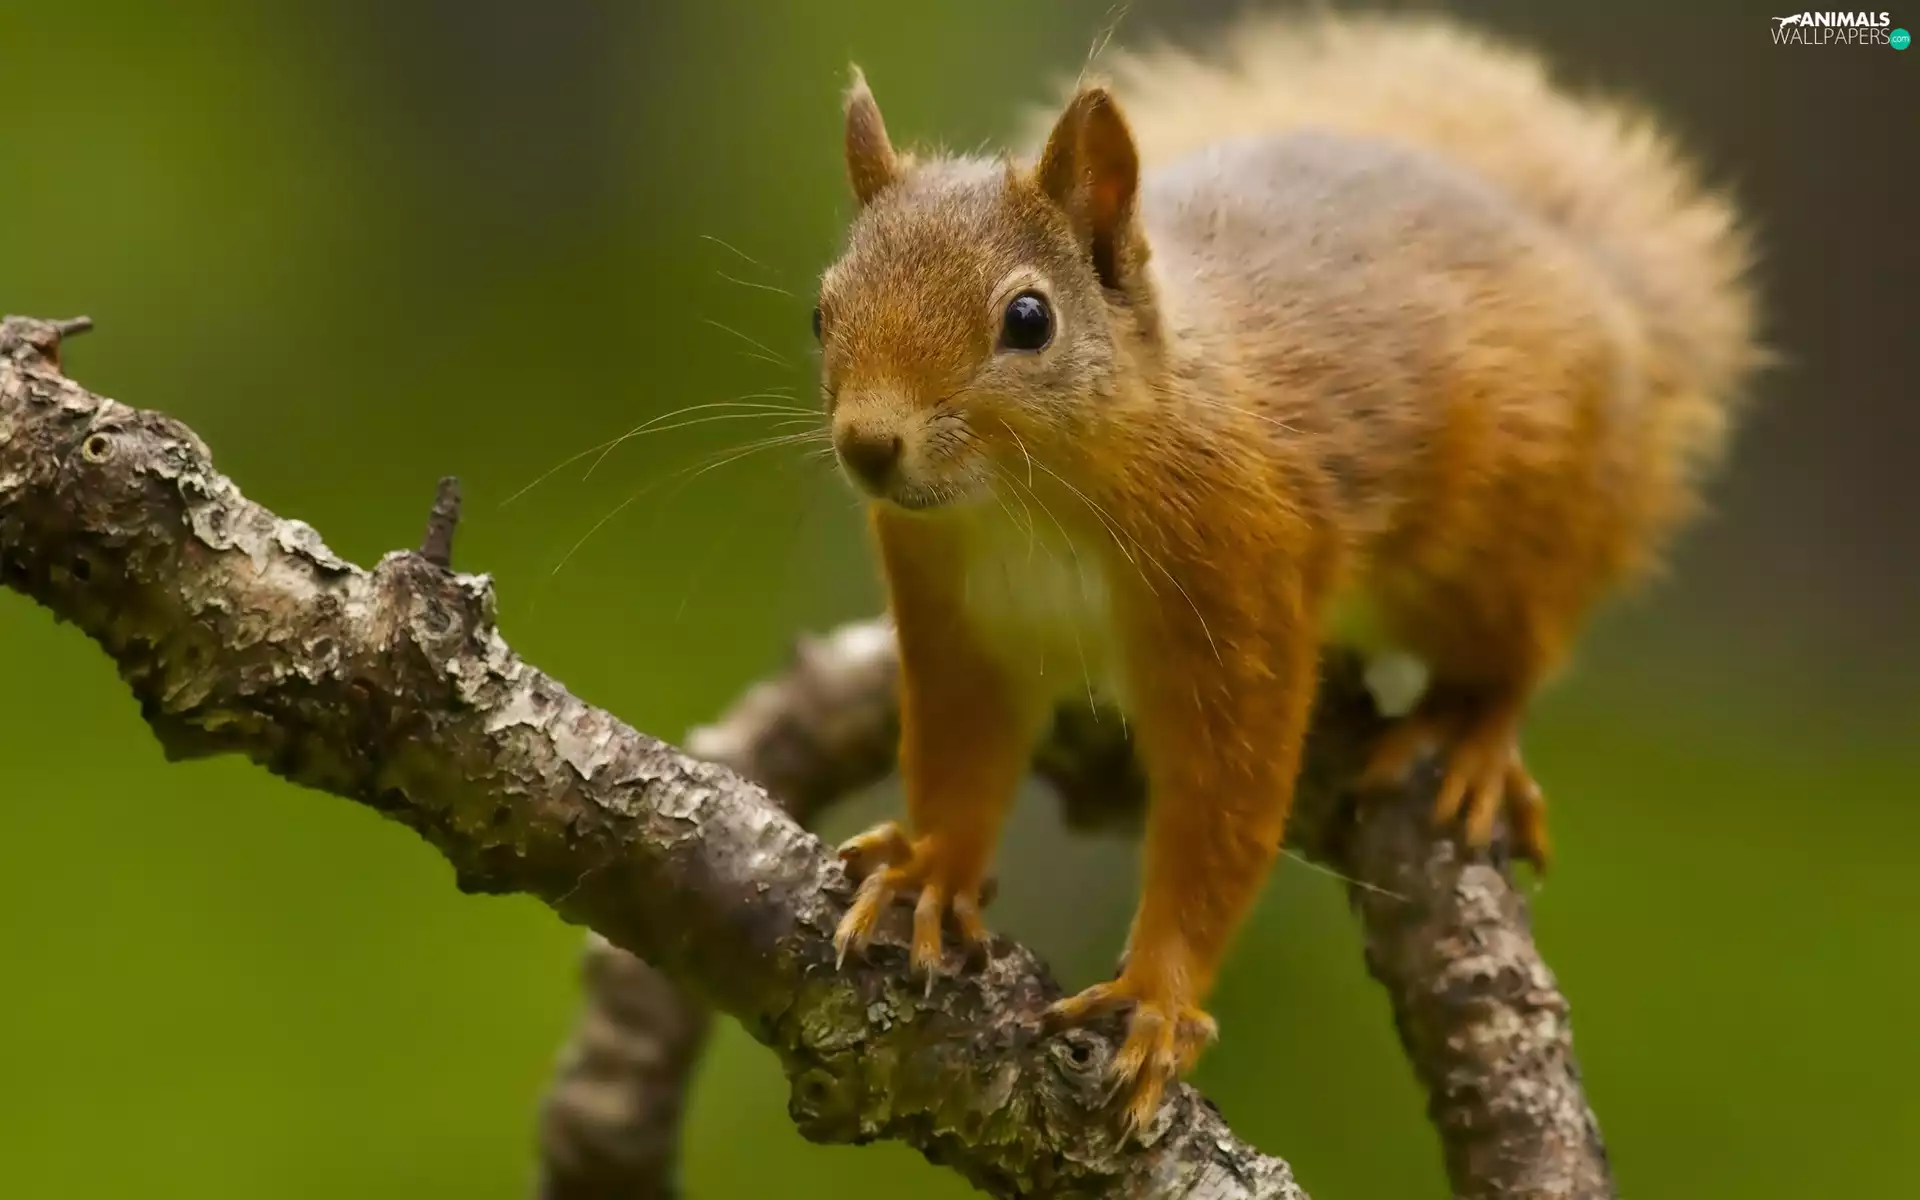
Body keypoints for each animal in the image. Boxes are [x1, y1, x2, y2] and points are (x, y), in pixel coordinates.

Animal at [812, 11, 1758, 1134]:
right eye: (822, 310)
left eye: (1029, 319)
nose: (870, 445)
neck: (1028, 510)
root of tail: (1600, 286)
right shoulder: (957, 629)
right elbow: (961, 759)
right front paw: (928, 873)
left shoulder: (1242, 592)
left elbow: (1223, 808)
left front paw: (1155, 999)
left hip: (1512, 546)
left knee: (1518, 654)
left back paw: (1470, 738)